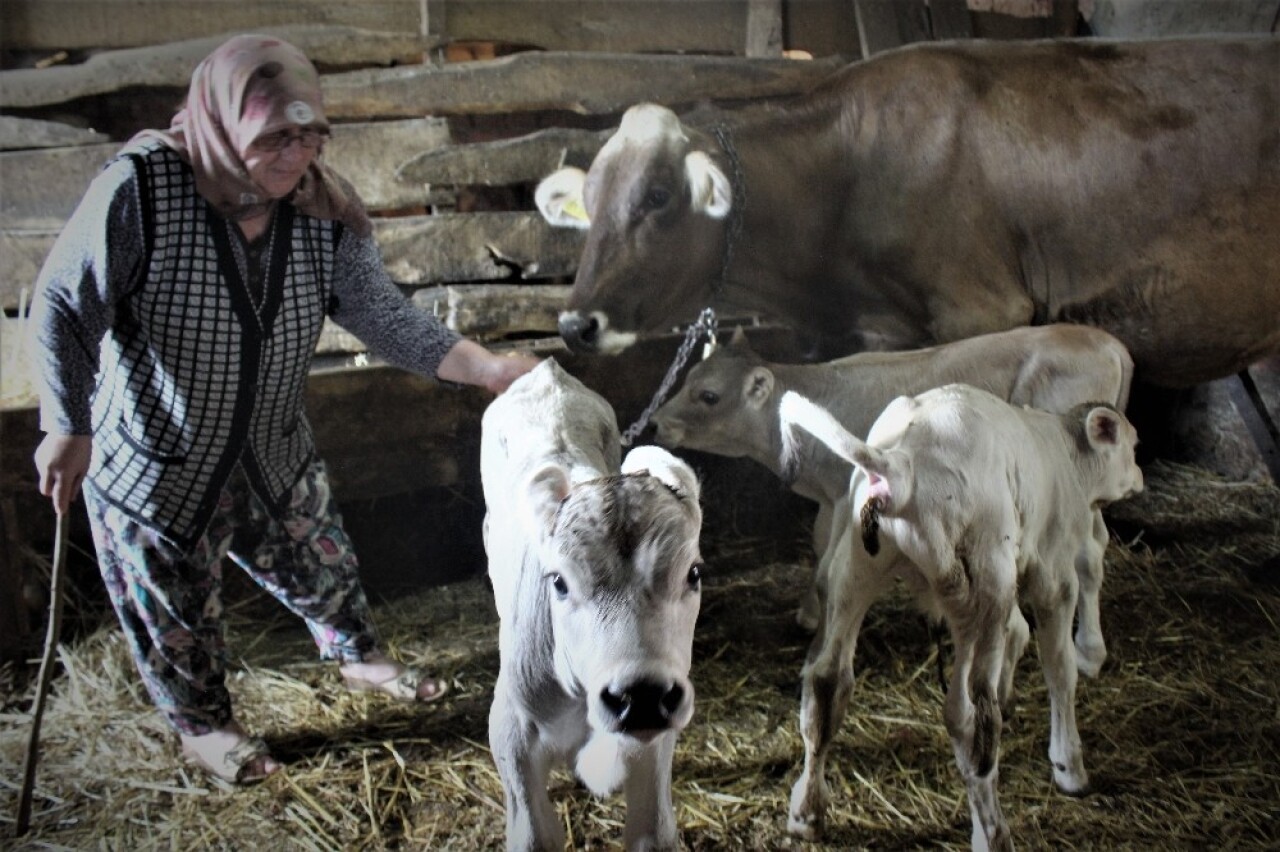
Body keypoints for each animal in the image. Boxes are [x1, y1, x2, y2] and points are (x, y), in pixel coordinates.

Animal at [481, 360, 706, 849]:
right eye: (559, 582)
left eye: (694, 573)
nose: (641, 695)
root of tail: (546, 370)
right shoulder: (511, 731)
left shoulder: (652, 751)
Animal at [773, 386, 1146, 849]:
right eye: (1133, 446)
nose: (1140, 477)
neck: (1066, 456)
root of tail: (902, 463)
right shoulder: (1052, 570)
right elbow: (1059, 669)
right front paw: (1069, 766)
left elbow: (1018, 633)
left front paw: (1010, 690)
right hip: (985, 582)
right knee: (971, 719)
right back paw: (992, 833)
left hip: (857, 570)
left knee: (826, 683)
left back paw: (806, 812)